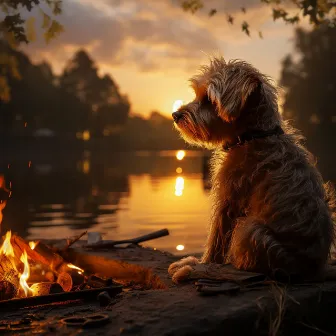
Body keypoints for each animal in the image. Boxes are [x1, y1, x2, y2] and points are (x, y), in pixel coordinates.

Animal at [169, 57, 334, 284]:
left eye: (209, 100)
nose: (175, 114)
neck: (253, 136)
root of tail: (313, 270)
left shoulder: (229, 200)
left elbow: (216, 243)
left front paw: (200, 264)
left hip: (250, 229)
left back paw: (193, 271)